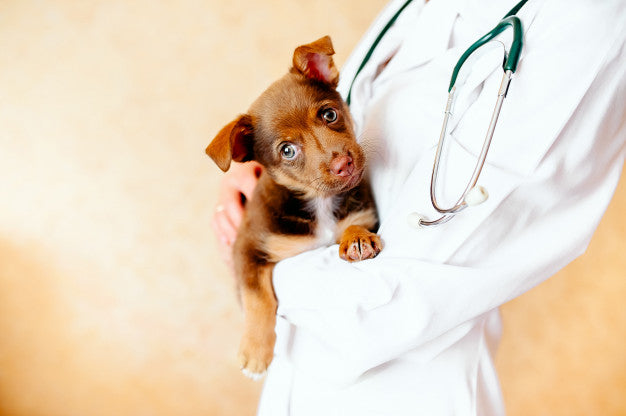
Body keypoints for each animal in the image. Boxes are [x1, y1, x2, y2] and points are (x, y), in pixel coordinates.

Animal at [207, 36, 378, 380]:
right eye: (287, 151)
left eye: (329, 115)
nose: (343, 164)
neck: (320, 202)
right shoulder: (247, 249)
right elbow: (258, 298)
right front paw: (255, 351)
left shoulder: (365, 214)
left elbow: (354, 225)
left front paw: (356, 238)